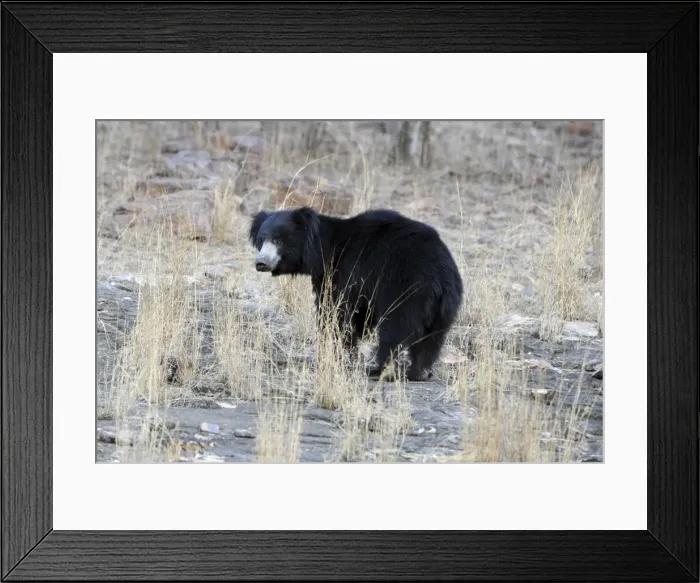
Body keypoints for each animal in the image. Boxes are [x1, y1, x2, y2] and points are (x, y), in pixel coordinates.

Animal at [249, 206, 464, 381]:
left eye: (278, 240)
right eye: (261, 240)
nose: (260, 263)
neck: (323, 249)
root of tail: (441, 276)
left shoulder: (346, 271)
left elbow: (335, 312)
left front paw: (335, 352)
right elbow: (358, 314)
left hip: (407, 292)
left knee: (395, 331)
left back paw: (378, 370)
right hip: (445, 306)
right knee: (432, 339)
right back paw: (419, 372)